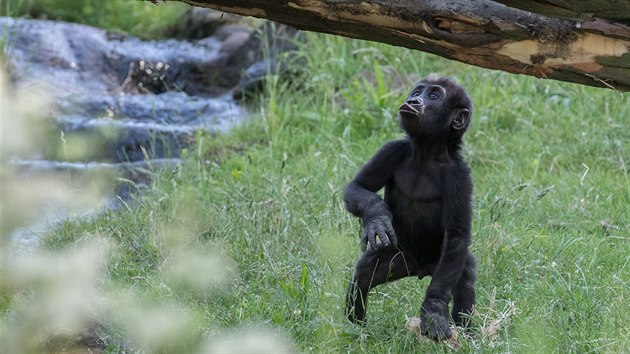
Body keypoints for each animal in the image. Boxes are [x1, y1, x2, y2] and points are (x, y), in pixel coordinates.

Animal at [348, 76, 476, 338]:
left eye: (434, 96)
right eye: (417, 92)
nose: (413, 101)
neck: (428, 152)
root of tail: (419, 269)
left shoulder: (460, 175)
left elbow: (457, 235)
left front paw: (434, 308)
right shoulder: (393, 149)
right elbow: (359, 187)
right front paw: (377, 217)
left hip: (438, 264)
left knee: (464, 275)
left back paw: (467, 334)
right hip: (399, 259)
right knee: (364, 275)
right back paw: (354, 329)